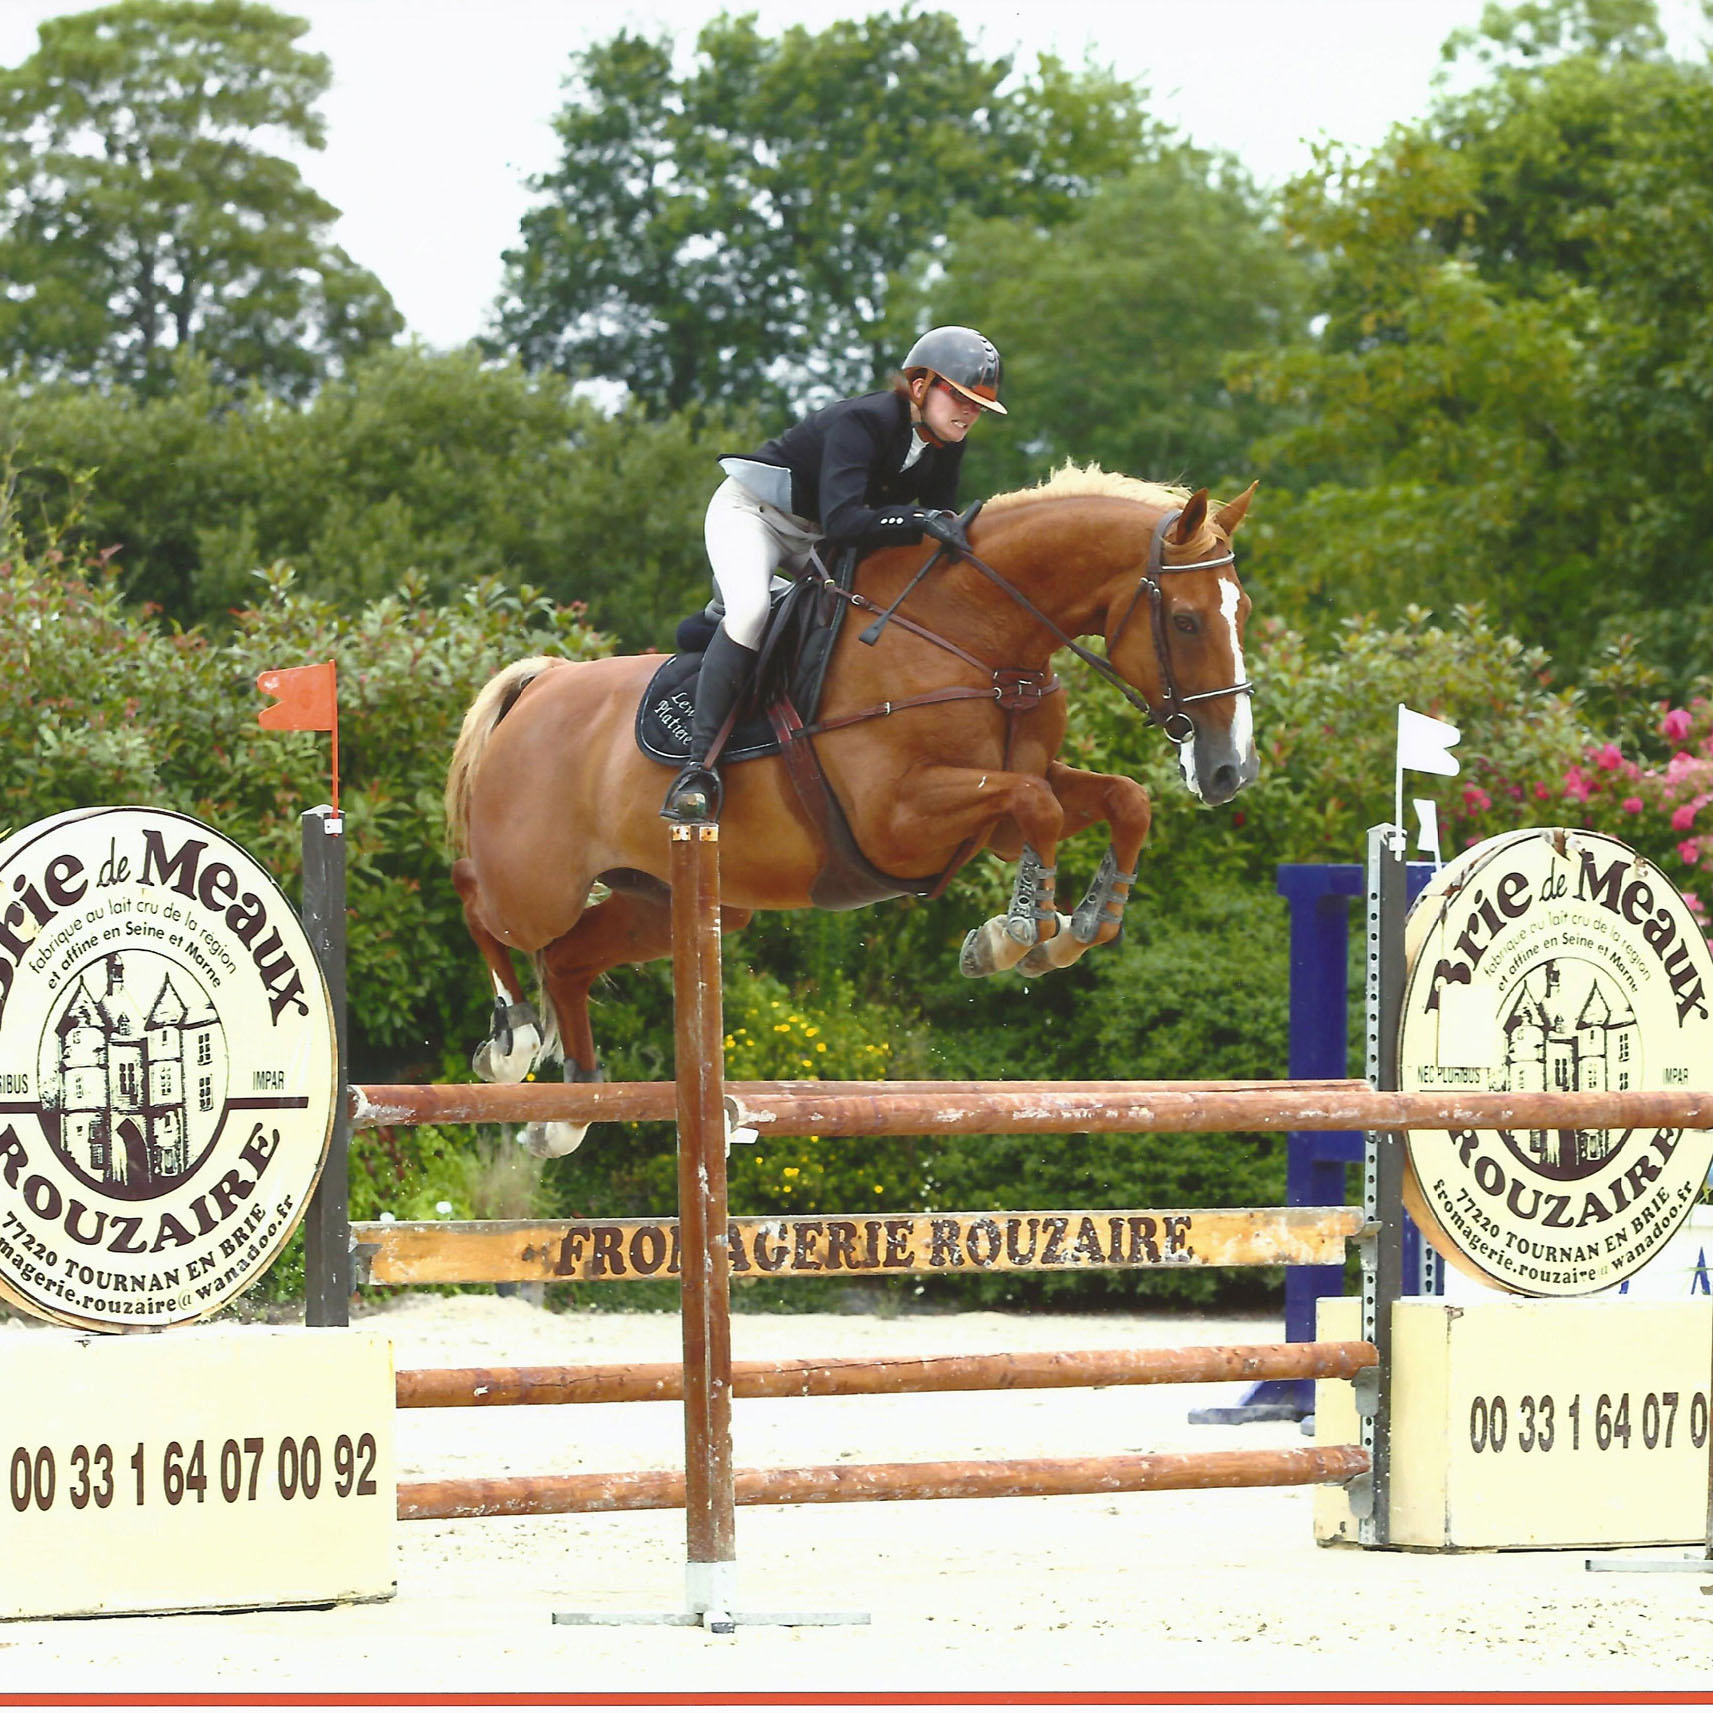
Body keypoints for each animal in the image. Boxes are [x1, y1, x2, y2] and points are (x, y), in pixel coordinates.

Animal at [441, 465, 1260, 1151]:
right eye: (1186, 621)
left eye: (1242, 611)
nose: (1229, 769)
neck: (976, 635)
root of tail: (544, 683)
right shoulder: (896, 819)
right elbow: (1040, 807)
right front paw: (1016, 932)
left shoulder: (992, 818)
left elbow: (1119, 800)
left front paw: (1081, 925)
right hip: (537, 884)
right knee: (477, 897)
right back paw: (511, 1041)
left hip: (667, 898)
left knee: (568, 960)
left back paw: (569, 1110)